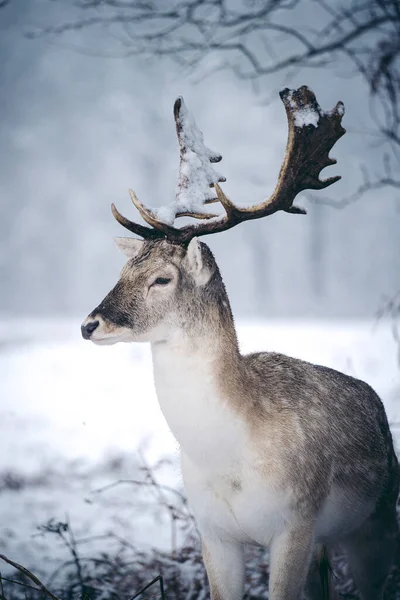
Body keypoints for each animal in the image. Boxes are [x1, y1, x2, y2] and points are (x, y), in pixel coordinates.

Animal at [79, 85, 398, 600]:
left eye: (162, 278)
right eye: (123, 270)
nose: (90, 324)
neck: (230, 458)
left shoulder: (296, 519)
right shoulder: (213, 530)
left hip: (378, 517)